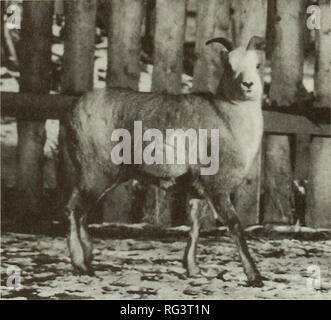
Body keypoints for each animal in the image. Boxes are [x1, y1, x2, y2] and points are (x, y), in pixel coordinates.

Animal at [64, 35, 268, 288]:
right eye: (230, 67)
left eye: (257, 65)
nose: (248, 85)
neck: (229, 120)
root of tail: (74, 111)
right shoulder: (216, 188)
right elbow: (235, 227)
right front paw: (255, 277)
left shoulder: (196, 191)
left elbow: (195, 226)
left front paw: (193, 269)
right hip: (97, 174)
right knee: (75, 210)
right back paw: (82, 265)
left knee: (79, 212)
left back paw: (87, 260)